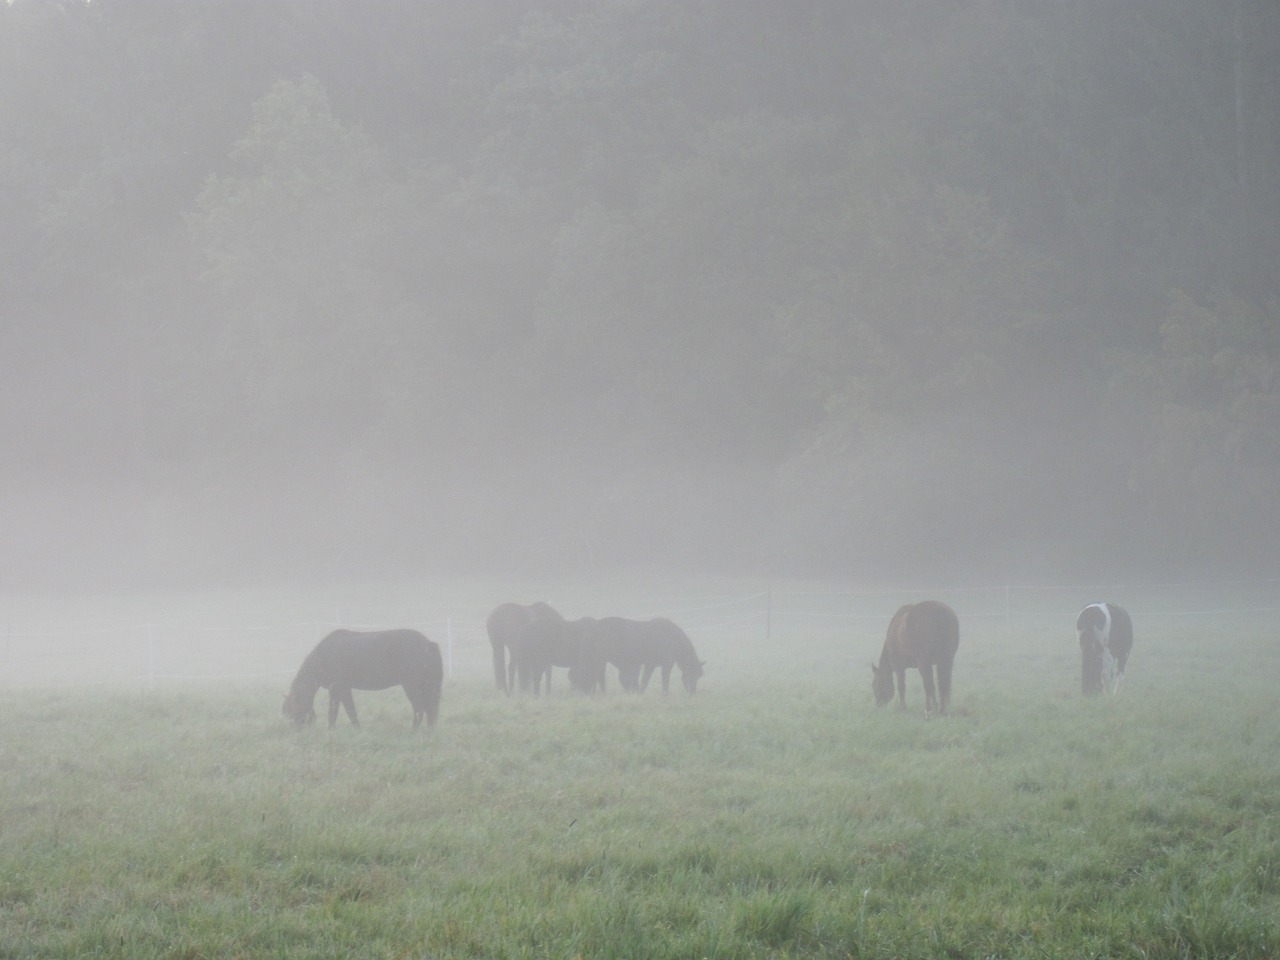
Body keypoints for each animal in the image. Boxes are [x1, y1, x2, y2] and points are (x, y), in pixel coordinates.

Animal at [282, 632, 442, 727]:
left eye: (293, 707)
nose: (296, 730)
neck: (324, 656)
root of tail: (428, 643)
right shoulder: (337, 690)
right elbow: (339, 712)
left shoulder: (341, 688)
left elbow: (345, 711)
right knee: (430, 710)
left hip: (412, 687)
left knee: (420, 709)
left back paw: (414, 731)